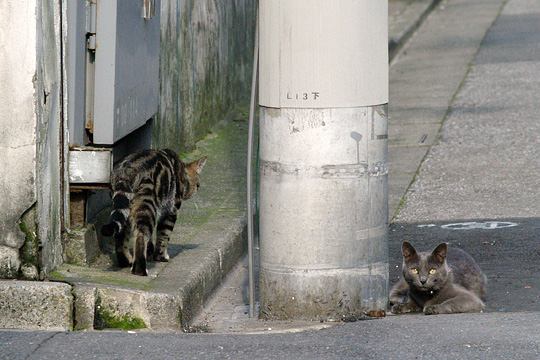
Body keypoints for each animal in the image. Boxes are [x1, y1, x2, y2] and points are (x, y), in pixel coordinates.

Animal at [101, 148, 207, 276]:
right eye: (197, 185)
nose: (197, 188)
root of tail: (126, 171)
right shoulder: (171, 211)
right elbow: (163, 236)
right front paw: (161, 256)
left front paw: (151, 252)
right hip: (146, 207)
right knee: (141, 237)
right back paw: (140, 270)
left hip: (126, 209)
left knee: (121, 237)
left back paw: (126, 261)